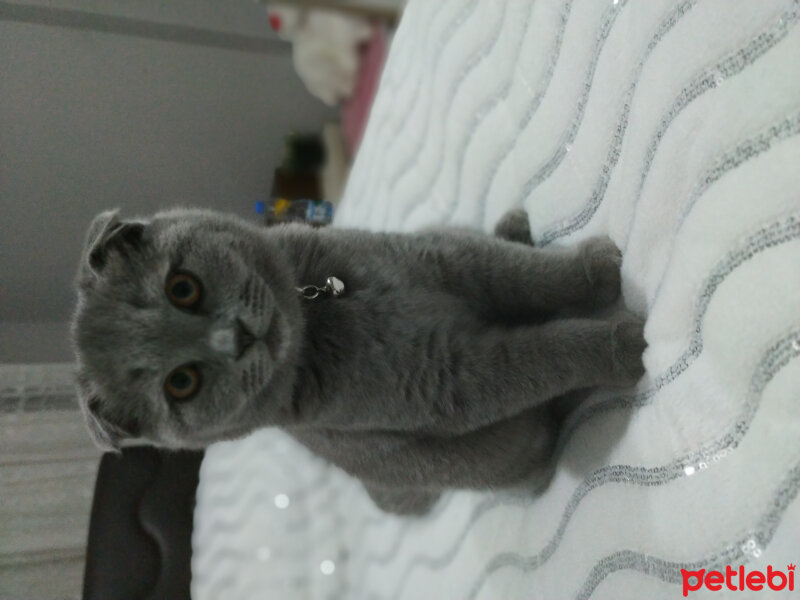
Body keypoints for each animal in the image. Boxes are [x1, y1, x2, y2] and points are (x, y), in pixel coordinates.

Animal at [72, 207, 648, 516]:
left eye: (182, 288)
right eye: (181, 382)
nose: (234, 338)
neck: (316, 311)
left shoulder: (446, 260)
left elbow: (524, 273)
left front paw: (596, 271)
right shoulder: (451, 377)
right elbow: (540, 356)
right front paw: (626, 343)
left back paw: (513, 224)